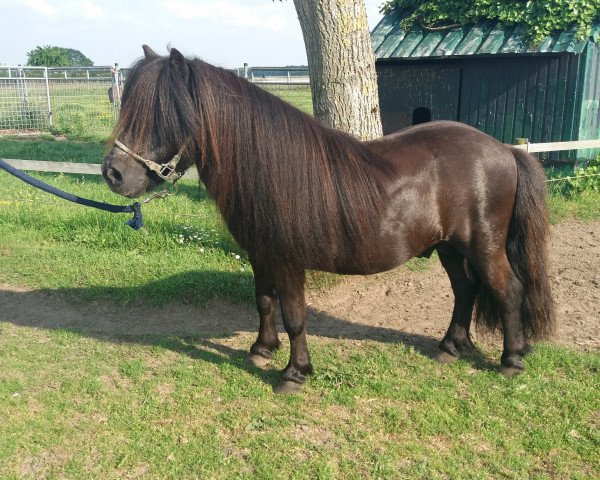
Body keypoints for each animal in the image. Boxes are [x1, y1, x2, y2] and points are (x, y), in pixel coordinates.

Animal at [102, 47, 552, 392]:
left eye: (164, 113)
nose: (113, 174)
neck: (267, 167)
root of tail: (505, 150)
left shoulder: (287, 260)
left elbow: (295, 316)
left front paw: (295, 374)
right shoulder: (260, 254)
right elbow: (264, 302)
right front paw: (262, 350)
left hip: (484, 246)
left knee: (508, 290)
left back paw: (511, 360)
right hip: (449, 247)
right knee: (465, 290)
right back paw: (450, 347)